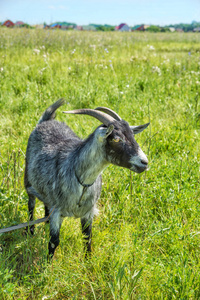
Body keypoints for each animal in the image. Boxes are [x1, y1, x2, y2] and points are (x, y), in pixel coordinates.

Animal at [24, 98, 148, 258]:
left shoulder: (88, 212)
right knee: (31, 206)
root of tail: (46, 120)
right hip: (28, 182)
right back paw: (30, 231)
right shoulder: (57, 211)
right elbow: (53, 242)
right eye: (116, 139)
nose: (144, 162)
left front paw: (88, 261)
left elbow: (86, 238)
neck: (82, 182)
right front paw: (47, 264)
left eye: (133, 136)